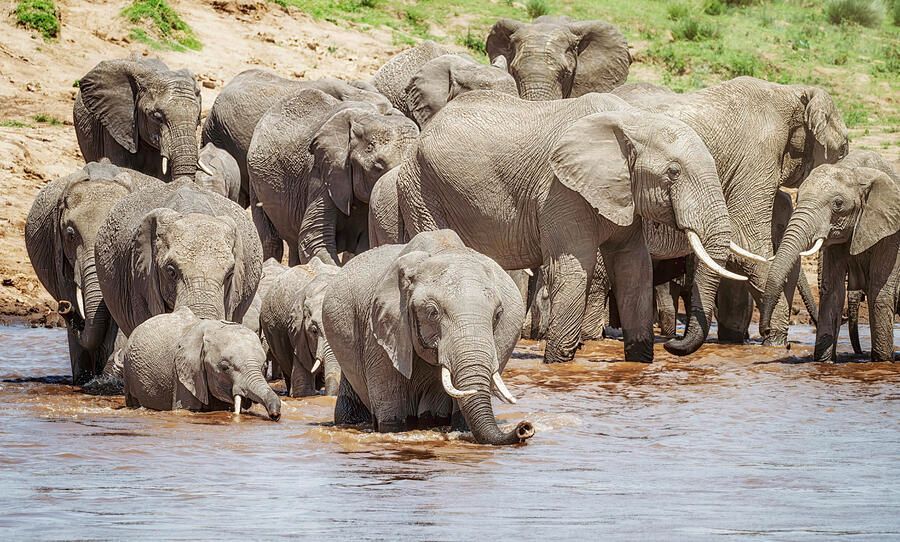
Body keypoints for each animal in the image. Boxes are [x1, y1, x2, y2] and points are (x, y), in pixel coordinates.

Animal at [247, 89, 419, 265]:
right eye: (377, 168)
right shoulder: (323, 171)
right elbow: (312, 239)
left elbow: (362, 247)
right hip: (255, 180)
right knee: (272, 242)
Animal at [396, 91, 742, 364]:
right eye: (673, 172)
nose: (672, 344)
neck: (633, 120)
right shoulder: (559, 190)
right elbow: (573, 269)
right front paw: (558, 363)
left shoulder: (623, 195)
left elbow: (633, 267)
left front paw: (639, 361)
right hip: (421, 188)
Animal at [613, 77, 849, 354]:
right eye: (843, 149)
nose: (671, 344)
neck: (791, 92)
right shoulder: (757, 157)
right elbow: (747, 242)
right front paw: (776, 343)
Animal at [762, 151, 900, 362]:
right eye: (798, 197)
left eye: (838, 204)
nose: (766, 330)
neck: (855, 172)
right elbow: (833, 290)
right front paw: (824, 362)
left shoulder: (891, 230)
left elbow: (880, 290)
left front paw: (882, 362)